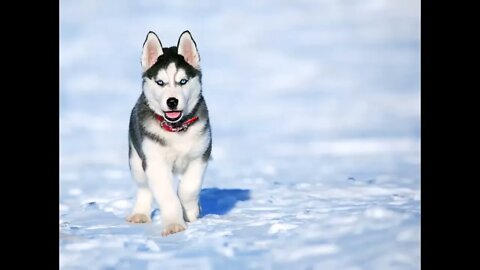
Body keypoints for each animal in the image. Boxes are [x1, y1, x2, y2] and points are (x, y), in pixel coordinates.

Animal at [126, 30, 211, 236]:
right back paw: (140, 214)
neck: (176, 129)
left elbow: (188, 188)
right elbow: (167, 195)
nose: (172, 101)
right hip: (136, 160)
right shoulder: (154, 162)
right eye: (160, 82)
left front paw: (191, 211)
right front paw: (174, 224)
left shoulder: (200, 155)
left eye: (183, 81)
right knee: (144, 188)